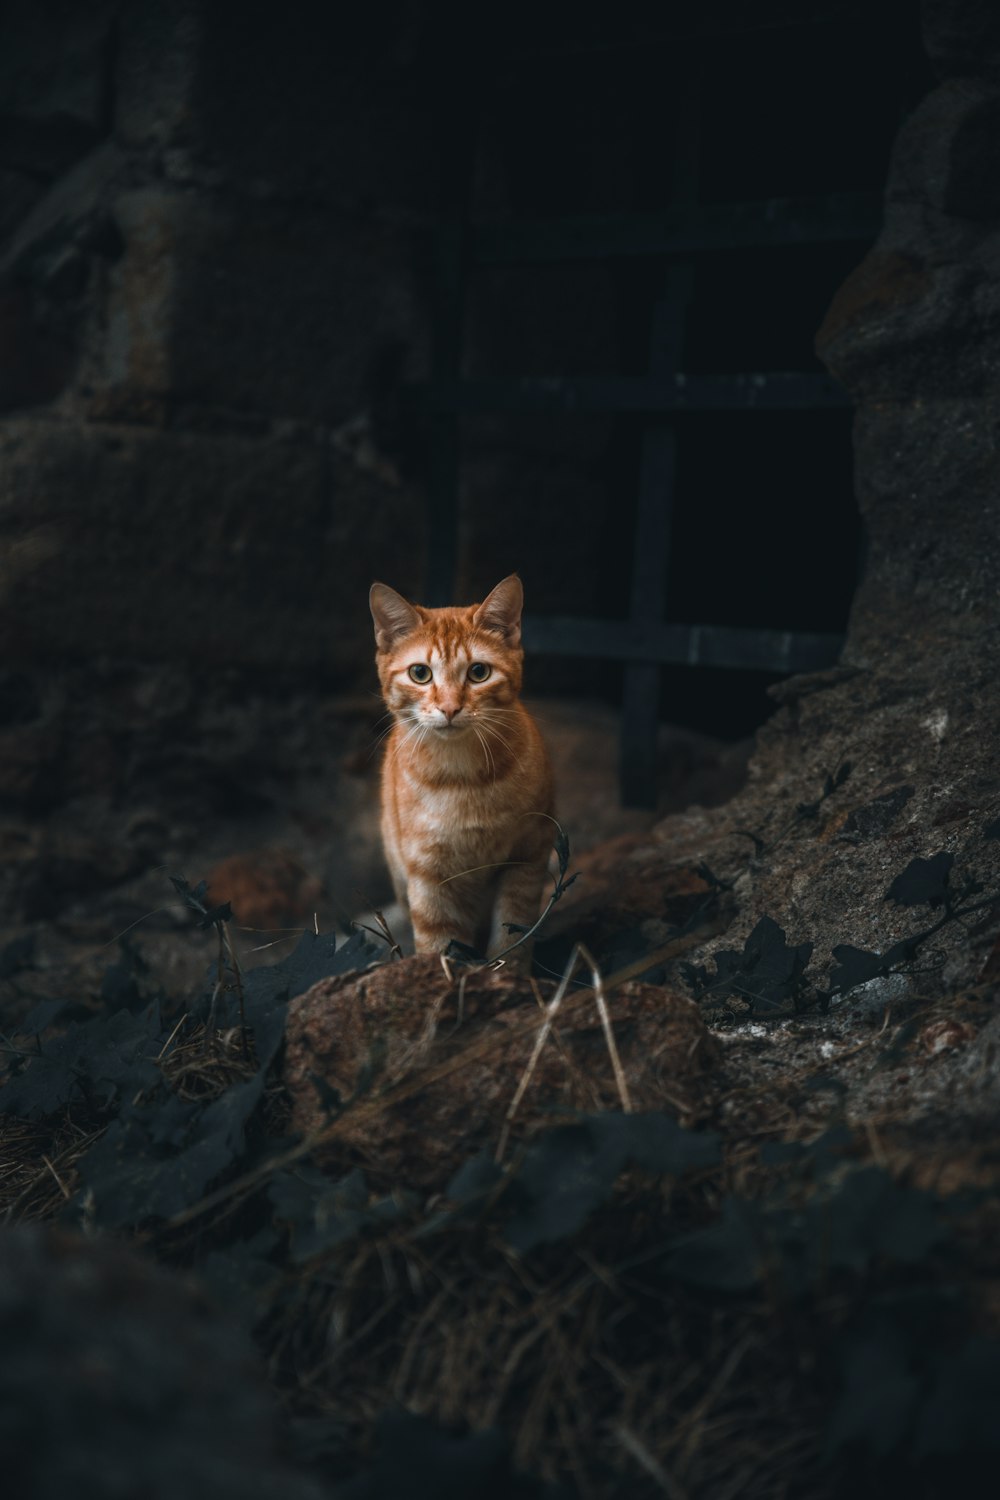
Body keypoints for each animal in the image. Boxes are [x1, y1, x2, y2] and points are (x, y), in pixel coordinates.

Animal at [370, 567, 554, 966]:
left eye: (479, 672)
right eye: (420, 673)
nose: (450, 708)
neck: (463, 779)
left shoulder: (528, 857)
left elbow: (512, 931)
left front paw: (508, 973)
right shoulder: (428, 876)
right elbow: (439, 943)